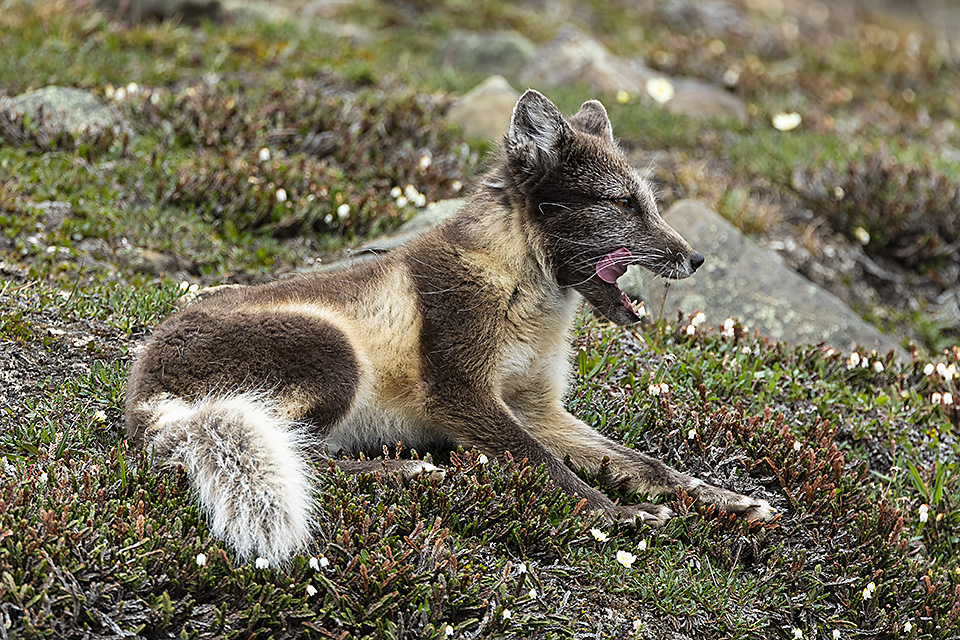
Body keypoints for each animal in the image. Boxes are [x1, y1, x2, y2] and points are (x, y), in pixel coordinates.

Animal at [124, 90, 775, 565]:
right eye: (623, 204)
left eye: (651, 202)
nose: (696, 258)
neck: (523, 290)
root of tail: (141, 398)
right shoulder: (462, 392)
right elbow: (548, 465)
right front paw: (618, 515)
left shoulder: (537, 406)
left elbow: (641, 464)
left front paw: (725, 499)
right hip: (331, 354)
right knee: (305, 452)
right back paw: (405, 469)